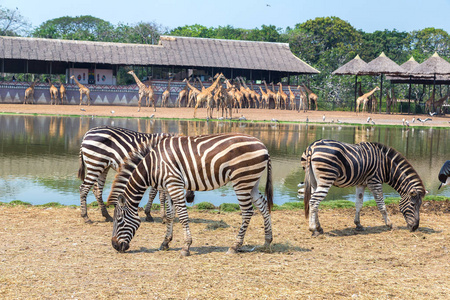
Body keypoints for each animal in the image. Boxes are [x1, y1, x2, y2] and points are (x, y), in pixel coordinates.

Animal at [106, 133, 274, 255]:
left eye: (119, 220)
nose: (114, 246)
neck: (152, 166)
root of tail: (263, 145)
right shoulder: (168, 187)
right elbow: (170, 215)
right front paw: (165, 242)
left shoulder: (174, 184)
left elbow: (182, 216)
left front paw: (186, 247)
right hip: (252, 182)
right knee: (263, 206)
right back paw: (267, 241)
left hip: (241, 180)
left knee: (247, 212)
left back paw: (235, 246)